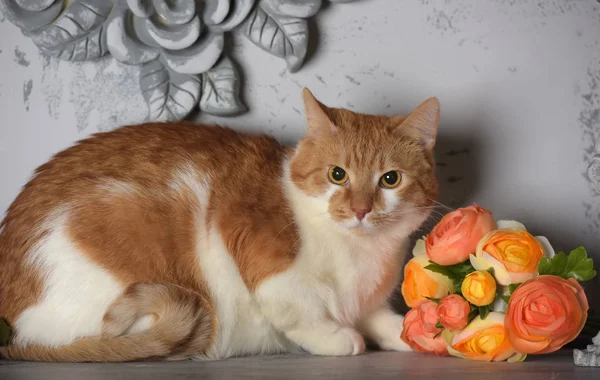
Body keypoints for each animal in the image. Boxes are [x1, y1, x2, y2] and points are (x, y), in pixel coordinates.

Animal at [0, 89, 440, 362]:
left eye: (390, 179)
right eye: (337, 174)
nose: (361, 209)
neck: (360, 253)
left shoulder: (366, 298)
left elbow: (379, 318)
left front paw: (412, 331)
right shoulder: (258, 254)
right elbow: (299, 311)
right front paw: (338, 337)